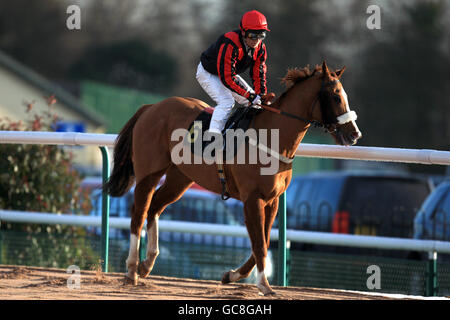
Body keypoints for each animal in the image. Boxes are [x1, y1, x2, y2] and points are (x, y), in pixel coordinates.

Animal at [104, 61, 362, 296]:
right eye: (336, 96)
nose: (354, 134)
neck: (273, 138)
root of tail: (151, 107)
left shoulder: (272, 200)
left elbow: (264, 241)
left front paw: (232, 275)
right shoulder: (252, 198)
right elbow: (259, 243)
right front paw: (265, 286)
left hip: (180, 178)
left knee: (155, 207)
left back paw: (147, 264)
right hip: (149, 172)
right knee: (139, 212)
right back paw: (131, 270)